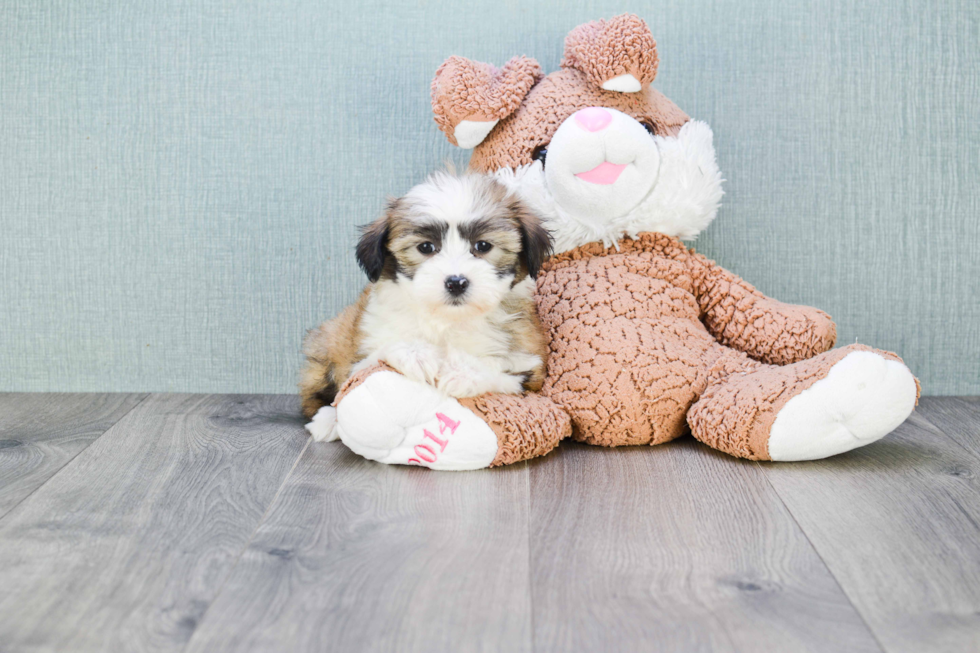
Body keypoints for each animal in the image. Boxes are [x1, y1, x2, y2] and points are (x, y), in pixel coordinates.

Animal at [298, 171, 552, 440]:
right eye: (426, 247)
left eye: (483, 246)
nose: (456, 282)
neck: (447, 320)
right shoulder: (362, 352)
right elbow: (371, 360)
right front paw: (415, 353)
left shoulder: (531, 365)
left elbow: (507, 371)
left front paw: (465, 372)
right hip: (326, 344)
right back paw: (327, 420)